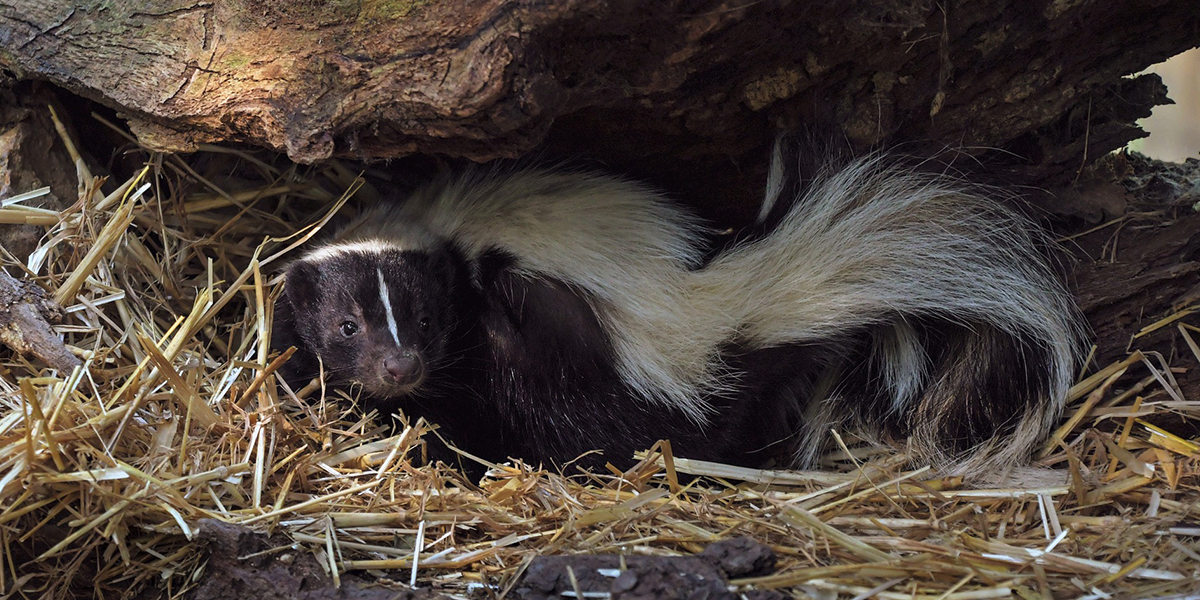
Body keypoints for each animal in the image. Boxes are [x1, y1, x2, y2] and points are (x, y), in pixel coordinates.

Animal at [274, 151, 1089, 477]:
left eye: (426, 322)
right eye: (347, 326)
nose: (399, 367)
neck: (431, 227)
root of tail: (717, 304)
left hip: (572, 362)